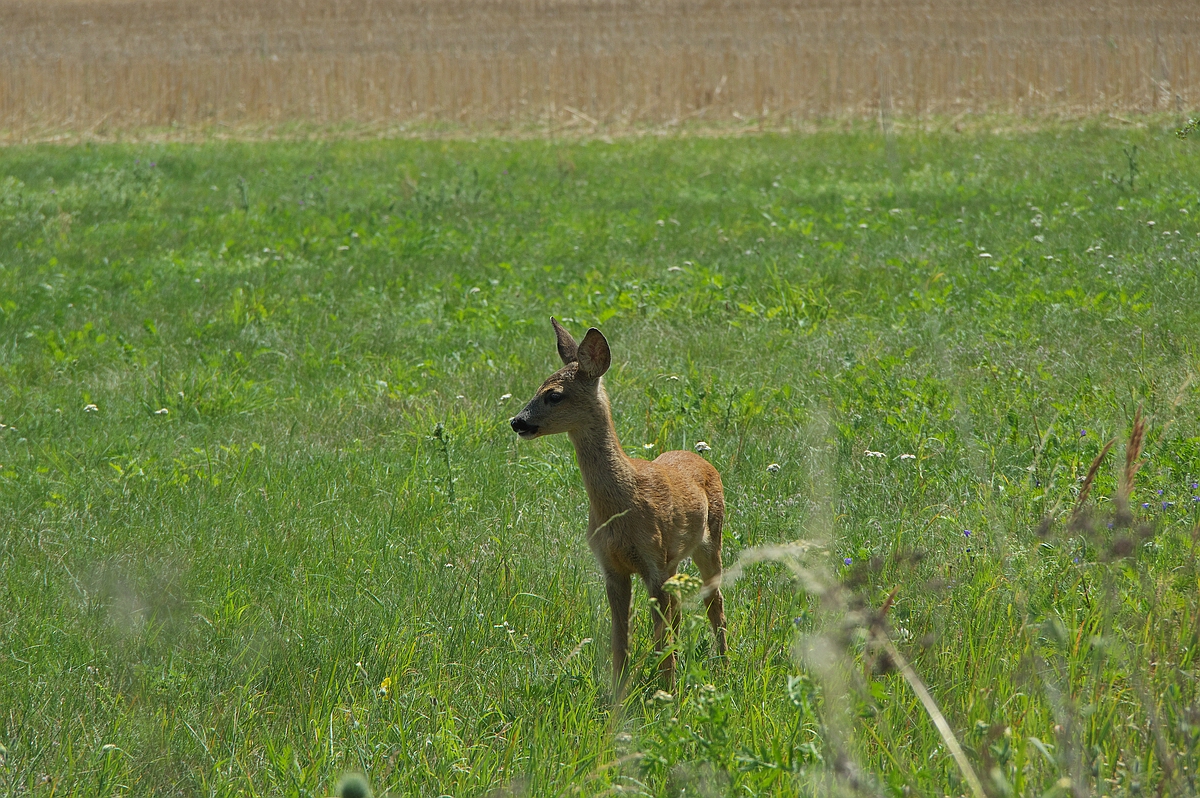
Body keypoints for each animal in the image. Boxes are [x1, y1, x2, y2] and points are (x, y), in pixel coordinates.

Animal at [508, 316, 724, 691]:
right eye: (538, 388)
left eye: (554, 395)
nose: (517, 421)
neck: (620, 506)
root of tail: (700, 457)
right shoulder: (611, 566)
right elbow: (619, 639)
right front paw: (619, 692)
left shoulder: (653, 561)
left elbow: (658, 638)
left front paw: (667, 693)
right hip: (675, 561)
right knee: (680, 610)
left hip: (710, 540)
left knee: (715, 604)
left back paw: (725, 666)